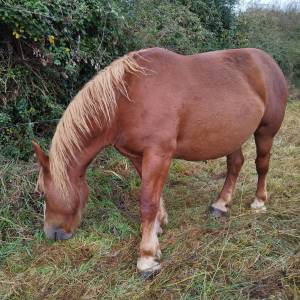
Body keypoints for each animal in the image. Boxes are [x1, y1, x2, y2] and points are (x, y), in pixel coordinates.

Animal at [33, 47, 288, 278]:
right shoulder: (138, 156)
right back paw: (220, 204)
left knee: (262, 164)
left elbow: (147, 202)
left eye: (42, 193)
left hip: (265, 132)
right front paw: (157, 230)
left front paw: (146, 259)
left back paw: (259, 202)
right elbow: (154, 197)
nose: (52, 234)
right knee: (235, 164)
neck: (126, 98)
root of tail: (268, 62)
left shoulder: (158, 154)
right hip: (232, 135)